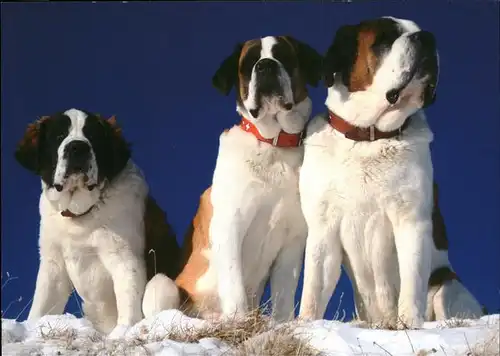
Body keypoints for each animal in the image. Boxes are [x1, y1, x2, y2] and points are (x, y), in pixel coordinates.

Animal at [14, 110, 184, 338]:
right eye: (59, 136)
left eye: (92, 136)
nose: (77, 147)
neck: (81, 216)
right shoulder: (53, 262)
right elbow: (43, 304)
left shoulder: (125, 257)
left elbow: (128, 298)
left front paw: (123, 333)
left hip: (162, 283)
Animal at [144, 34, 324, 322]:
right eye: (248, 64)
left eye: (283, 56)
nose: (265, 65)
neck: (272, 145)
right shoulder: (229, 226)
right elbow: (235, 286)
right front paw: (240, 320)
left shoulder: (292, 242)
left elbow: (284, 298)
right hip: (162, 284)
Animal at [298, 16, 482, 328]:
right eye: (384, 39)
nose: (427, 38)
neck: (369, 137)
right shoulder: (323, 229)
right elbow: (312, 292)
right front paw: (304, 326)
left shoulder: (411, 221)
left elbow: (411, 286)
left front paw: (409, 327)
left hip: (447, 286)